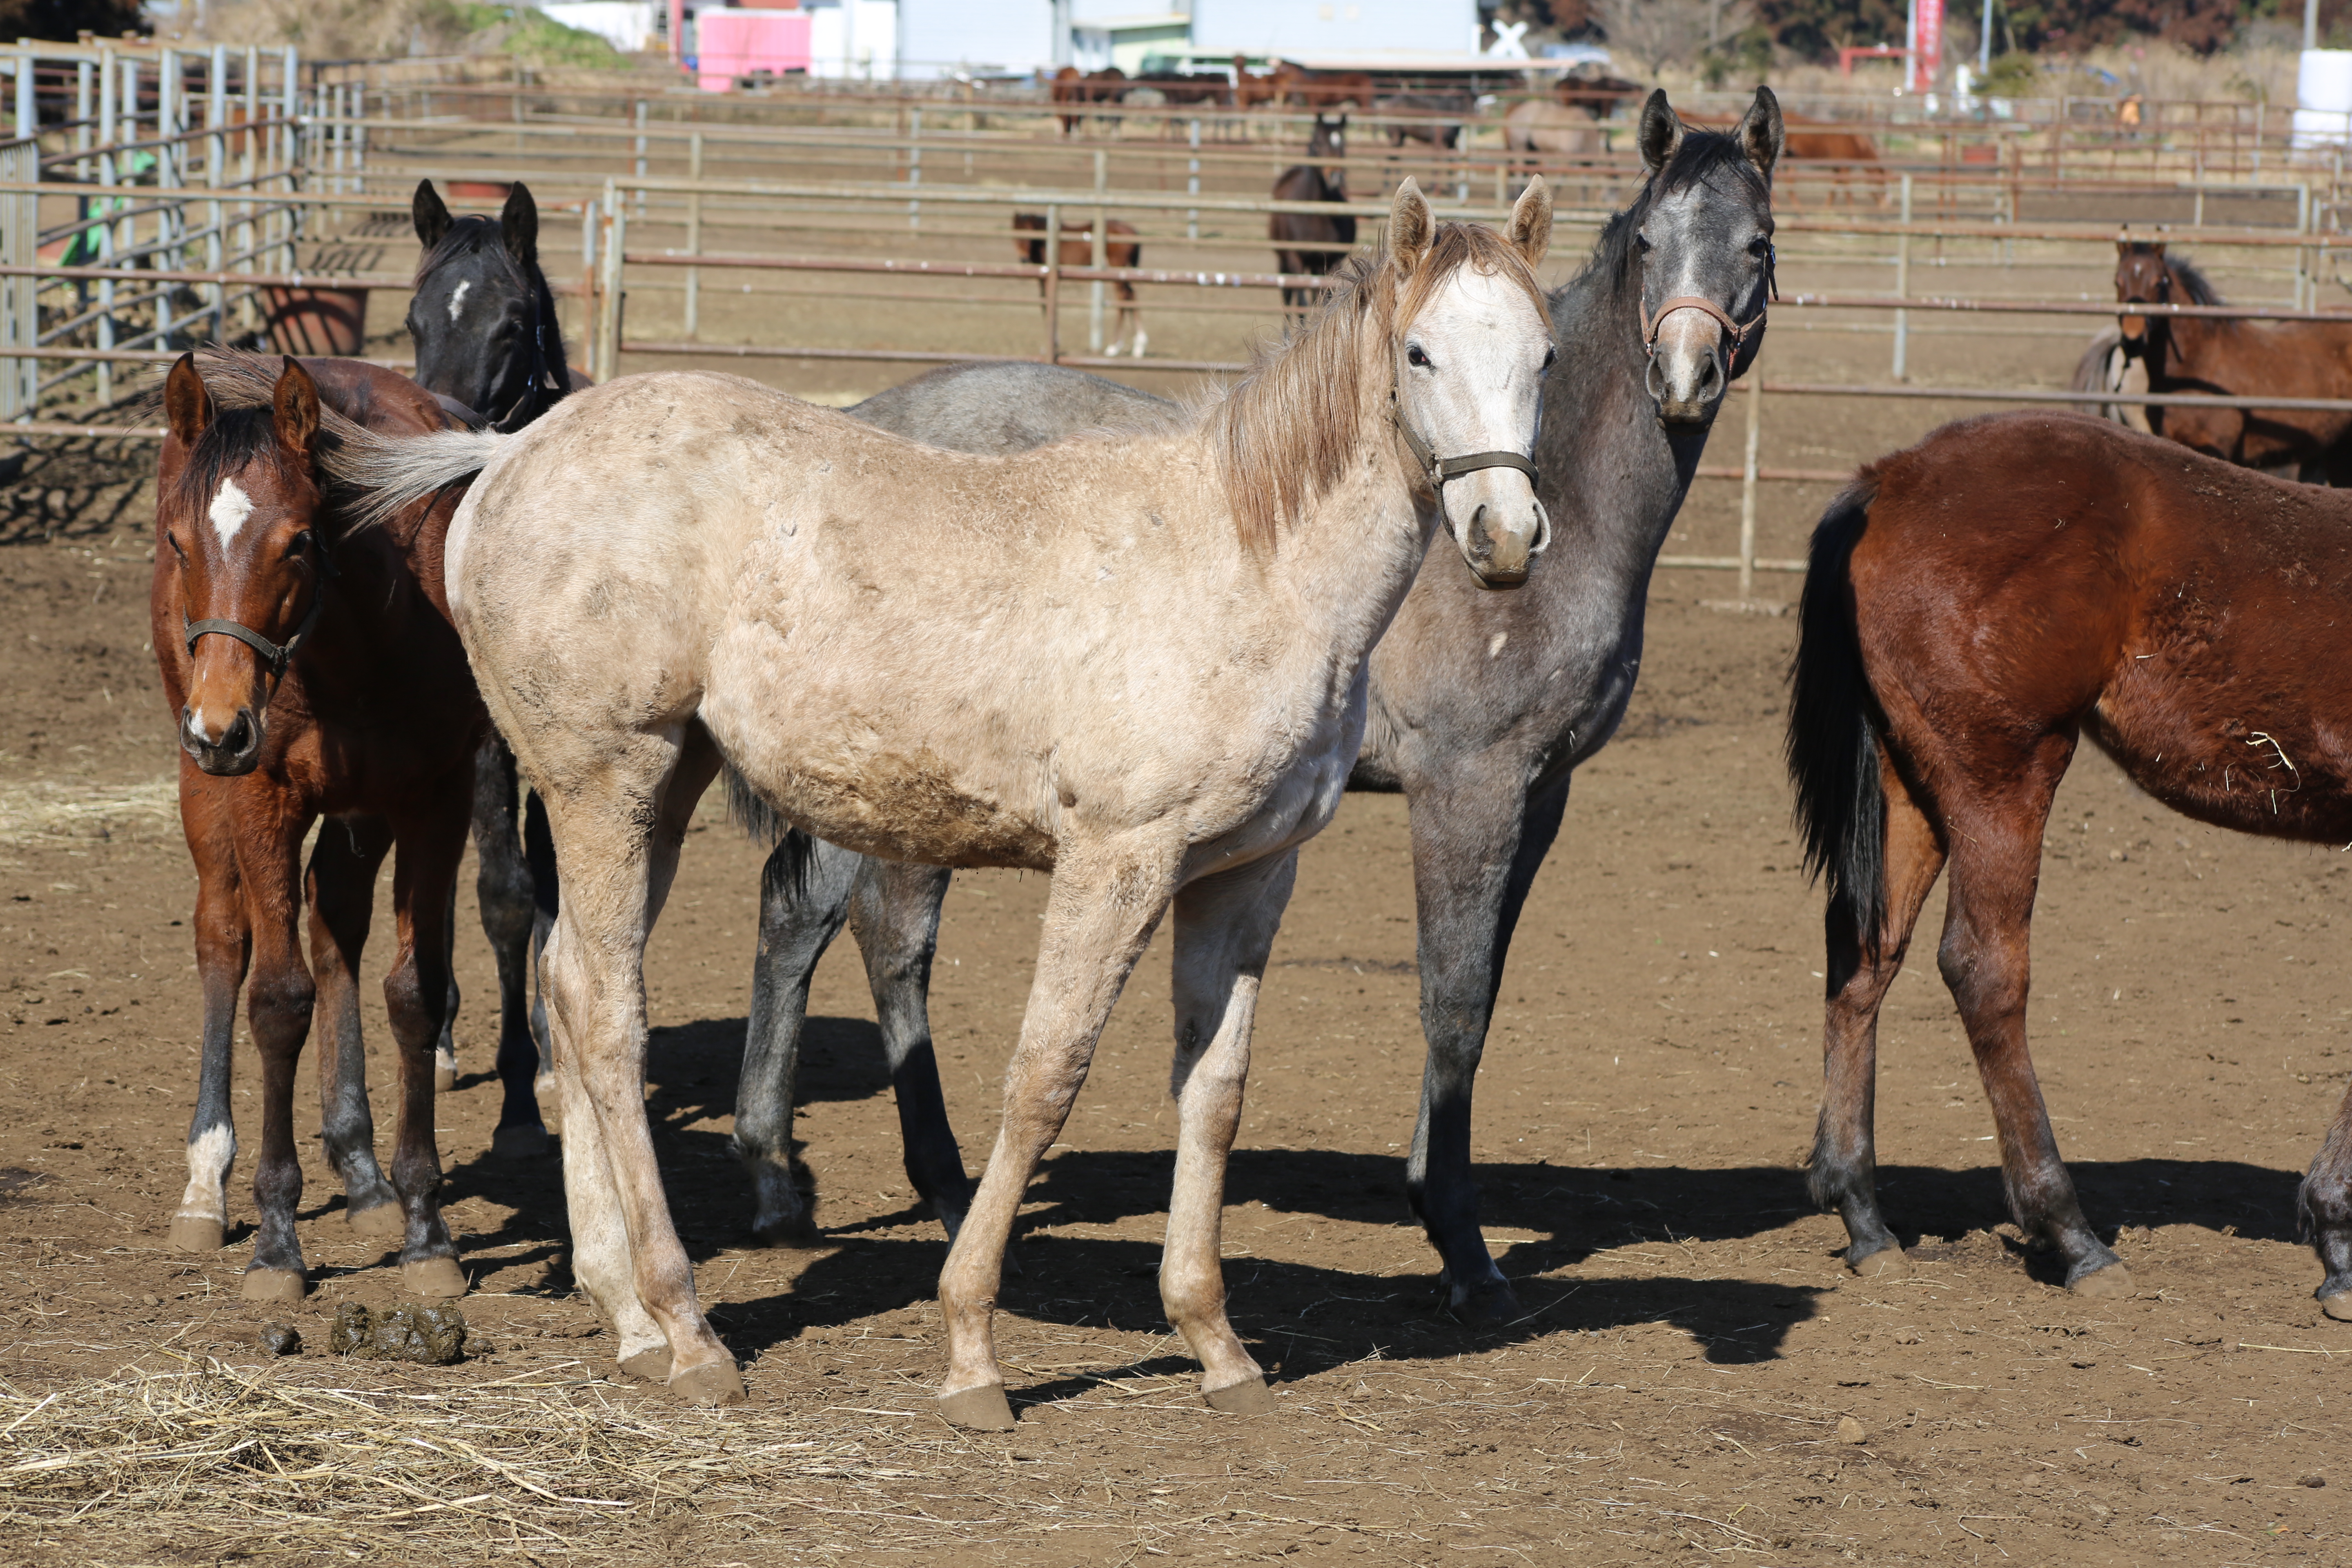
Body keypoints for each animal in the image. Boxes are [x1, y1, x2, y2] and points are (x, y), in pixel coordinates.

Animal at [156, 350, 496, 1307]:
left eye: (300, 542)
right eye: (179, 543)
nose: (222, 727)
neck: (358, 644)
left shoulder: (433, 798)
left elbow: (415, 995)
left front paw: (424, 1230)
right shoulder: (261, 797)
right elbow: (277, 1001)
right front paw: (277, 1242)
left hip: (357, 810)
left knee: (335, 924)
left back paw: (364, 1175)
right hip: (209, 795)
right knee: (222, 938)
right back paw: (206, 1182)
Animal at [1011, 208, 1147, 352]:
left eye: (1029, 233)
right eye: (1016, 233)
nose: (1024, 259)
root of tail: (1133, 232)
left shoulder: (1046, 278)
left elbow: (1047, 304)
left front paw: (1053, 344)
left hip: (1117, 267)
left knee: (1124, 295)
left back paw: (1114, 346)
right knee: (1131, 294)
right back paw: (1139, 345)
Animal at [1270, 114, 1364, 319]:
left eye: (1343, 145)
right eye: (1318, 144)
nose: (1335, 177)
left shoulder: (1333, 262)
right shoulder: (1295, 259)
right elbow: (1301, 304)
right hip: (1284, 261)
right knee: (1288, 298)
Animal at [1778, 411, 2352, 1316]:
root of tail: (1892, 478)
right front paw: (2337, 1234)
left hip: (1914, 789)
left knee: (1865, 958)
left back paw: (1865, 1218)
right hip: (2003, 777)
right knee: (1983, 970)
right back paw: (2072, 1235)